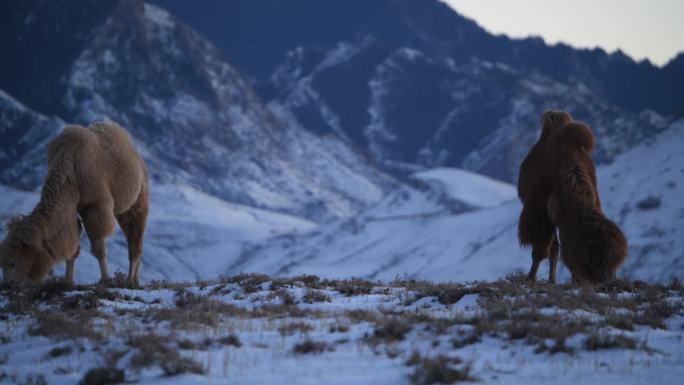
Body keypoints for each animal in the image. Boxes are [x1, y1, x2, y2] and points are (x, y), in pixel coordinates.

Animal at [0, 121, 149, 284]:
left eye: (13, 262)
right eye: (2, 264)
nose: (7, 284)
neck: (71, 169)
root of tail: (136, 154)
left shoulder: (96, 207)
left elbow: (98, 249)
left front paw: (105, 279)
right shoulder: (71, 211)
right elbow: (72, 248)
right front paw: (67, 281)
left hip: (140, 196)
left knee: (136, 237)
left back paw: (130, 280)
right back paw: (136, 280)